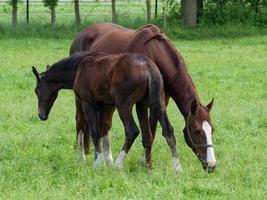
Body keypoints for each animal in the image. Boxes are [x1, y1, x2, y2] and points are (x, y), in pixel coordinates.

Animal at [32, 51, 181, 170]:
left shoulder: (87, 103)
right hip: (150, 103)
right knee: (162, 132)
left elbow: (93, 131)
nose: (41, 115)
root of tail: (147, 66)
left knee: (132, 131)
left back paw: (118, 164)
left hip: (124, 105)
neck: (79, 67)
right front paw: (104, 159)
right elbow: (103, 128)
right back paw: (170, 167)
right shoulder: (104, 105)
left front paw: (98, 162)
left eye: (36, 90)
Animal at [69, 22, 218, 171]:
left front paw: (146, 162)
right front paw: (146, 164)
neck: (155, 52)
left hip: (107, 101)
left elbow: (152, 132)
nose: (211, 165)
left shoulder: (160, 101)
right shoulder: (141, 104)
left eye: (212, 130)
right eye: (197, 131)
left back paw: (99, 154)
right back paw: (82, 154)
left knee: (104, 124)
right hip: (83, 99)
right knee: (81, 121)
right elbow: (147, 134)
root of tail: (82, 34)